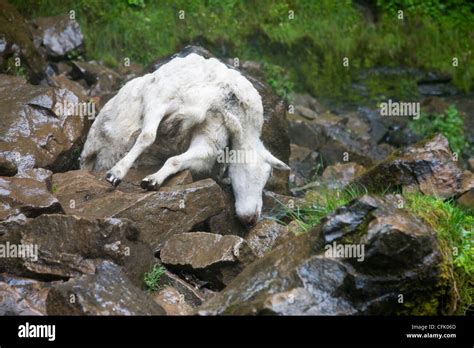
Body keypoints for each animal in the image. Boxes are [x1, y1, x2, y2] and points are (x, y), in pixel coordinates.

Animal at [79, 51, 290, 226]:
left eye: (267, 176)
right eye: (245, 168)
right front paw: (117, 173)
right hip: (91, 148)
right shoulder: (159, 100)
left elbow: (176, 160)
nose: (252, 219)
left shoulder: (211, 135)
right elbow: (147, 136)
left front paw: (154, 179)